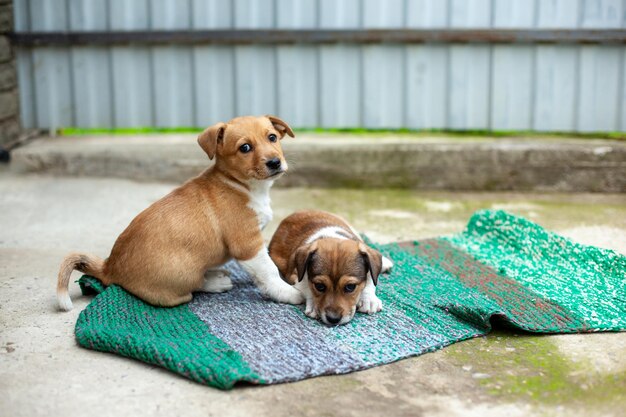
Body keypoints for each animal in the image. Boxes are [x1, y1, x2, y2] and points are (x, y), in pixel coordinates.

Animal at [54, 115, 304, 310]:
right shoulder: (248, 245)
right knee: (191, 288)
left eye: (272, 137)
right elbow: (269, 271)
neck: (242, 184)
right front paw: (289, 293)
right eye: (245, 148)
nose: (275, 162)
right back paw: (215, 282)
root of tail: (109, 267)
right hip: (182, 272)